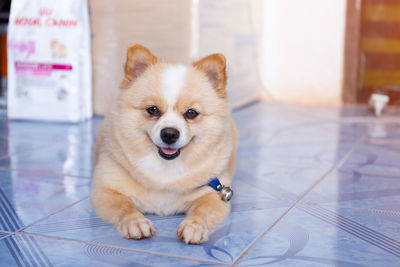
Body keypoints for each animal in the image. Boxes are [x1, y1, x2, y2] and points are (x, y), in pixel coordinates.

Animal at [90, 44, 238, 245]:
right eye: (152, 110)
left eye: (191, 113)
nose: (169, 134)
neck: (165, 169)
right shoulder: (105, 191)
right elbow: (125, 207)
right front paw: (135, 222)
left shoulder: (214, 195)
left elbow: (201, 212)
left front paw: (194, 226)